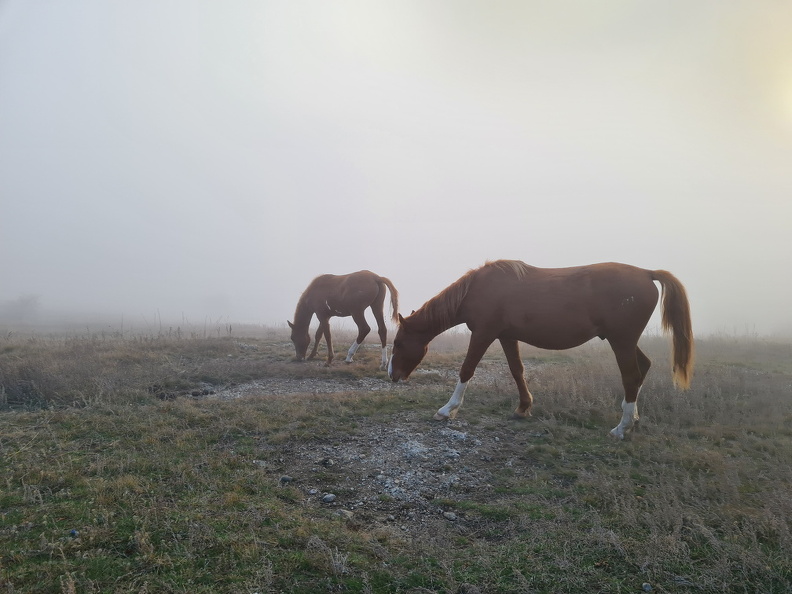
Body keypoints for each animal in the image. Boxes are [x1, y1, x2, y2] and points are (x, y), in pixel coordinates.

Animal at [390, 262, 692, 438]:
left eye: (397, 343)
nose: (393, 375)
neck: (478, 289)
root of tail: (646, 273)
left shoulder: (484, 333)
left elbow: (467, 369)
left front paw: (447, 410)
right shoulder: (506, 336)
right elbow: (517, 370)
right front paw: (523, 407)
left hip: (621, 342)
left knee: (631, 376)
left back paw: (621, 428)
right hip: (625, 342)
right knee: (643, 368)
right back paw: (634, 419)